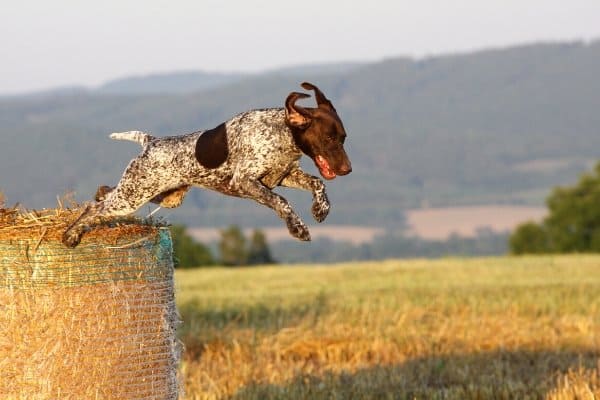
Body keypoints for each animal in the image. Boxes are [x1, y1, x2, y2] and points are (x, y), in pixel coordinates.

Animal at [62, 82, 352, 247]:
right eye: (328, 138)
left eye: (344, 137)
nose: (347, 170)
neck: (282, 132)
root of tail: (151, 141)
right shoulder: (245, 181)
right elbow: (282, 202)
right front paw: (298, 228)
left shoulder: (284, 176)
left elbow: (318, 183)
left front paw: (321, 209)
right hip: (133, 196)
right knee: (93, 208)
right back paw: (70, 235)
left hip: (161, 195)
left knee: (103, 192)